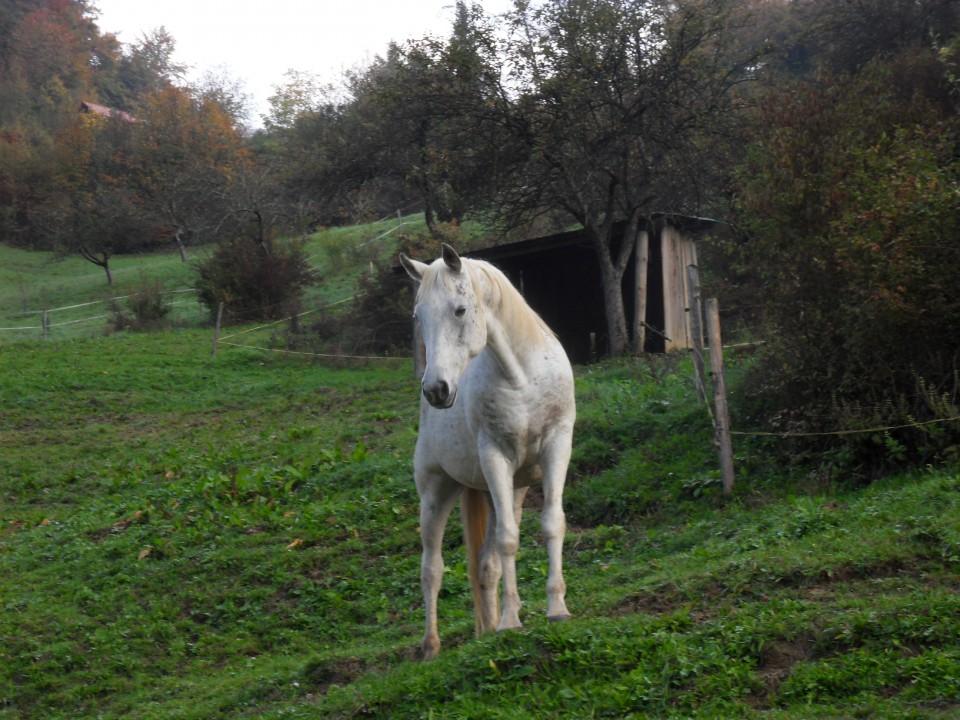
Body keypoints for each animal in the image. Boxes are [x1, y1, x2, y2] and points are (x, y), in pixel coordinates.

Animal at [400, 245, 576, 660]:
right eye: (418, 316)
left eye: (460, 309)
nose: (436, 390)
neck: (522, 376)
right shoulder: (496, 457)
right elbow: (509, 540)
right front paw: (512, 622)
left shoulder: (557, 447)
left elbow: (551, 523)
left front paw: (557, 609)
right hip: (437, 492)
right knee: (432, 568)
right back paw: (431, 646)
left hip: (509, 490)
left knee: (485, 563)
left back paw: (487, 629)